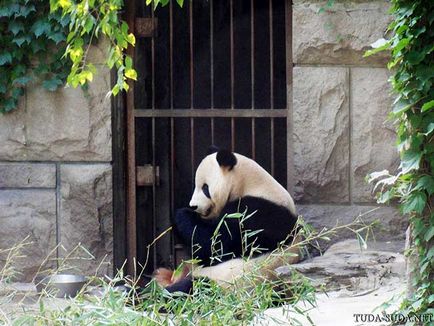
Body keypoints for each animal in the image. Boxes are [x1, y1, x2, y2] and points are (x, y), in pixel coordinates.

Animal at [154, 147, 300, 292]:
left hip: (223, 282)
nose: (193, 206)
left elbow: (215, 245)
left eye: (205, 188)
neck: (250, 184)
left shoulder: (257, 213)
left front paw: (180, 214)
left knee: (191, 288)